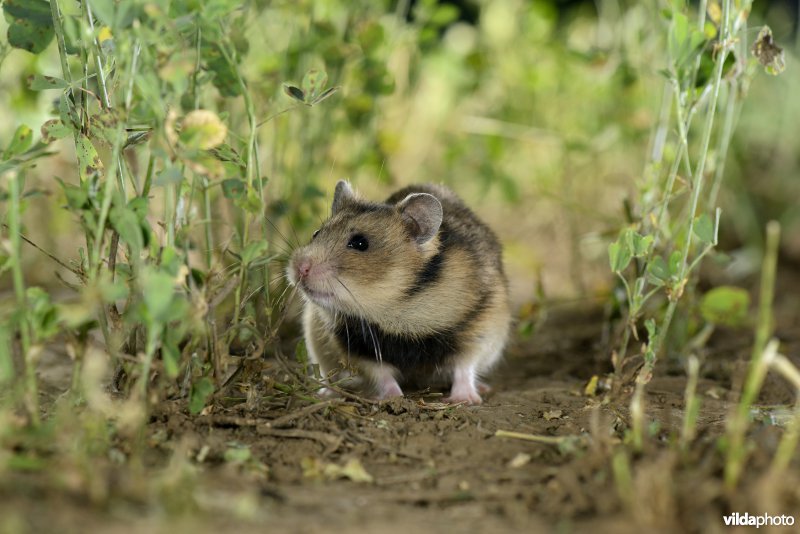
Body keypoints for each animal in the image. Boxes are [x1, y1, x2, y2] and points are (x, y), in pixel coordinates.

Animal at [287, 180, 511, 404]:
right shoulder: (357, 347)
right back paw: (326, 393)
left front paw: (465, 399)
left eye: (360, 243)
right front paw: (392, 398)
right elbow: (382, 374)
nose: (298, 268)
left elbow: (464, 366)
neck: (396, 308)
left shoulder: (478, 328)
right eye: (316, 233)